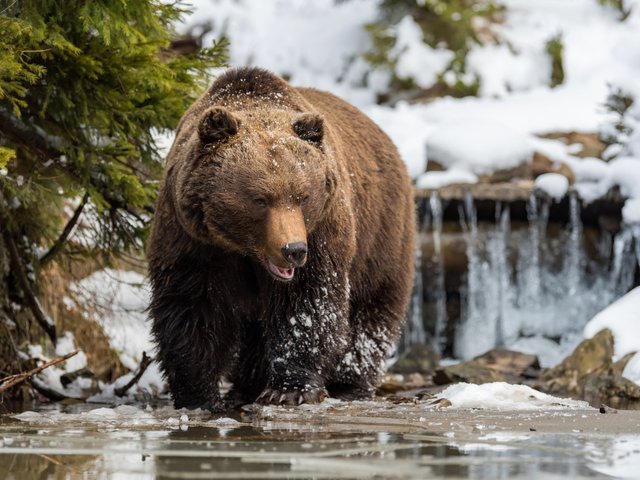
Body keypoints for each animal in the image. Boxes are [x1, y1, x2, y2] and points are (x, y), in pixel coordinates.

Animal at [147, 67, 416, 412]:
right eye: (260, 199)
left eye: (303, 196)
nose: (293, 250)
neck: (244, 250)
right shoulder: (193, 239)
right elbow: (192, 306)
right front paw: (199, 395)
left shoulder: (322, 232)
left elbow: (307, 304)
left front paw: (290, 389)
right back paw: (245, 386)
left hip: (381, 233)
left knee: (372, 309)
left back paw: (349, 383)